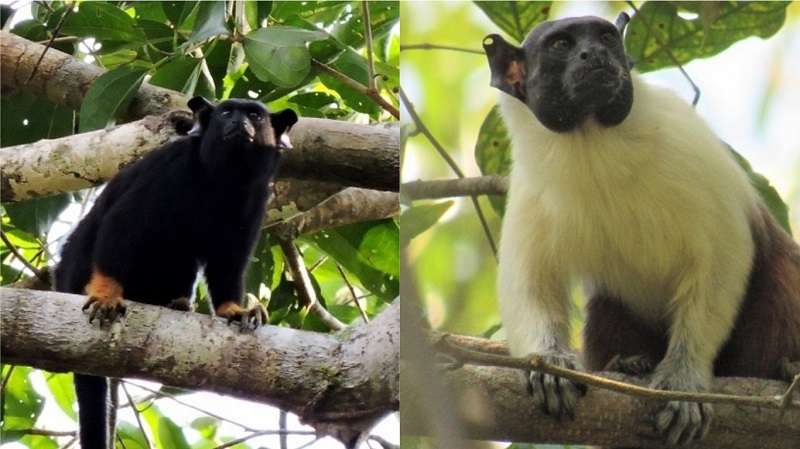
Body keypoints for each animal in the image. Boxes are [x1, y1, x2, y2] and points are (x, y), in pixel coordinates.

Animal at [54, 97, 296, 448]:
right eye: (226, 112)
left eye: (255, 115)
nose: (238, 122)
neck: (223, 180)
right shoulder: (171, 169)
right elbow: (120, 227)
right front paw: (106, 295)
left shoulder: (257, 197)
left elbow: (229, 263)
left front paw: (233, 309)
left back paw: (176, 303)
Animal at [482, 13, 800, 444]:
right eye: (562, 45)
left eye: (606, 38)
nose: (594, 54)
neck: (593, 140)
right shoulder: (530, 192)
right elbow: (531, 283)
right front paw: (549, 365)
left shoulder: (691, 145)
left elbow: (723, 255)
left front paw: (683, 381)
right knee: (606, 303)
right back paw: (627, 364)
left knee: (780, 270)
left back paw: (783, 368)